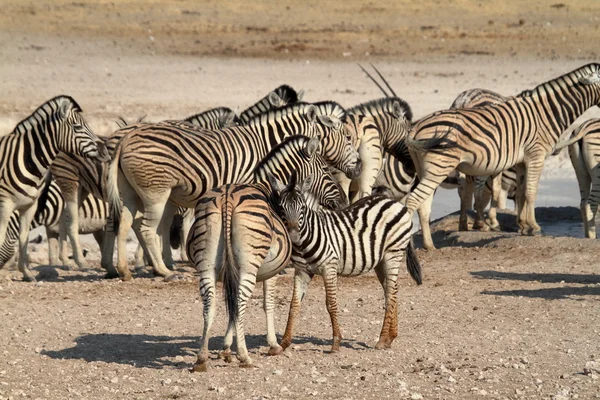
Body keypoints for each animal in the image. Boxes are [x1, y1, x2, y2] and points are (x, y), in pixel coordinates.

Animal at [0, 95, 108, 282]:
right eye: (77, 127)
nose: (104, 150)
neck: (26, 160)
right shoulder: (5, 204)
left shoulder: (29, 205)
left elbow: (23, 237)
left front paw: (27, 273)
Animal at [107, 102, 360, 282]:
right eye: (348, 137)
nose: (358, 166)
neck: (265, 144)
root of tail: (125, 139)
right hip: (156, 192)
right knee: (146, 228)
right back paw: (163, 271)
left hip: (131, 192)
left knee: (125, 224)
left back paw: (125, 270)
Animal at [188, 136, 346, 370]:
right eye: (326, 169)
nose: (344, 201)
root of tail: (227, 196)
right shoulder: (272, 270)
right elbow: (267, 303)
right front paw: (272, 345)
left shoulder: (230, 273)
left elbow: (231, 307)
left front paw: (226, 349)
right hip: (249, 265)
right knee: (242, 300)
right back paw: (245, 357)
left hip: (206, 265)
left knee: (210, 303)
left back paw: (201, 358)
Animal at [270, 173, 422, 352]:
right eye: (282, 208)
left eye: (302, 208)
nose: (293, 236)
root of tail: (394, 202)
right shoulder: (302, 271)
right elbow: (294, 305)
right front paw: (284, 343)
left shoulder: (329, 267)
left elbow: (331, 304)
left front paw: (336, 342)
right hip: (380, 261)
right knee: (391, 290)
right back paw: (390, 337)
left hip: (393, 252)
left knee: (391, 292)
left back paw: (382, 339)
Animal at [406, 63, 596, 238]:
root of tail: (463, 99)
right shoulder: (518, 161)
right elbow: (518, 192)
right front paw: (525, 225)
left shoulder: (511, 162)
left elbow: (516, 192)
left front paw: (520, 224)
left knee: (463, 189)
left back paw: (462, 226)